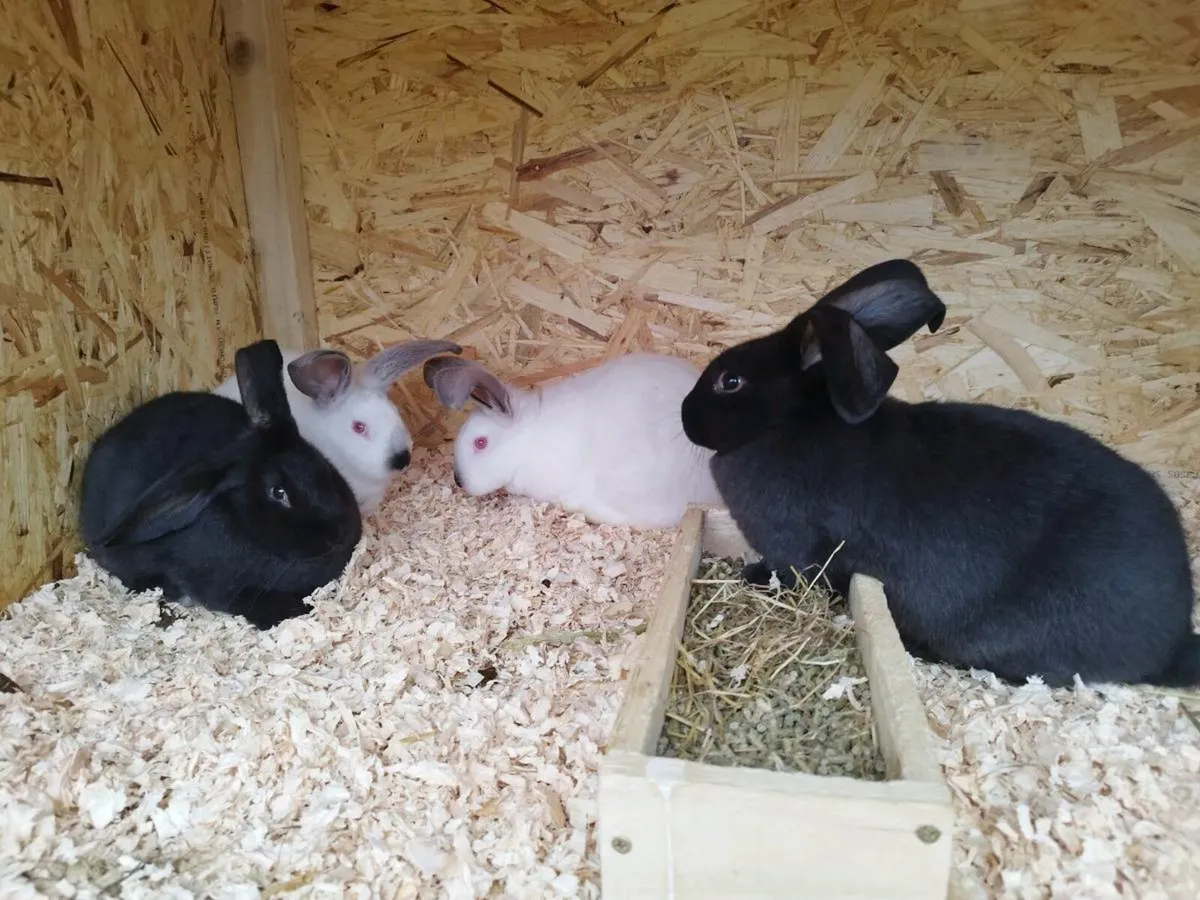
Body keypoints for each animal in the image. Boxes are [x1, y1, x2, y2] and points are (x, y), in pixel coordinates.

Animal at [680, 258, 1199, 689]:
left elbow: (789, 570)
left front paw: (751, 575)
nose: (685, 416)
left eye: (731, 381)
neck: (784, 424)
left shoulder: (795, 547)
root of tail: (1170, 646)